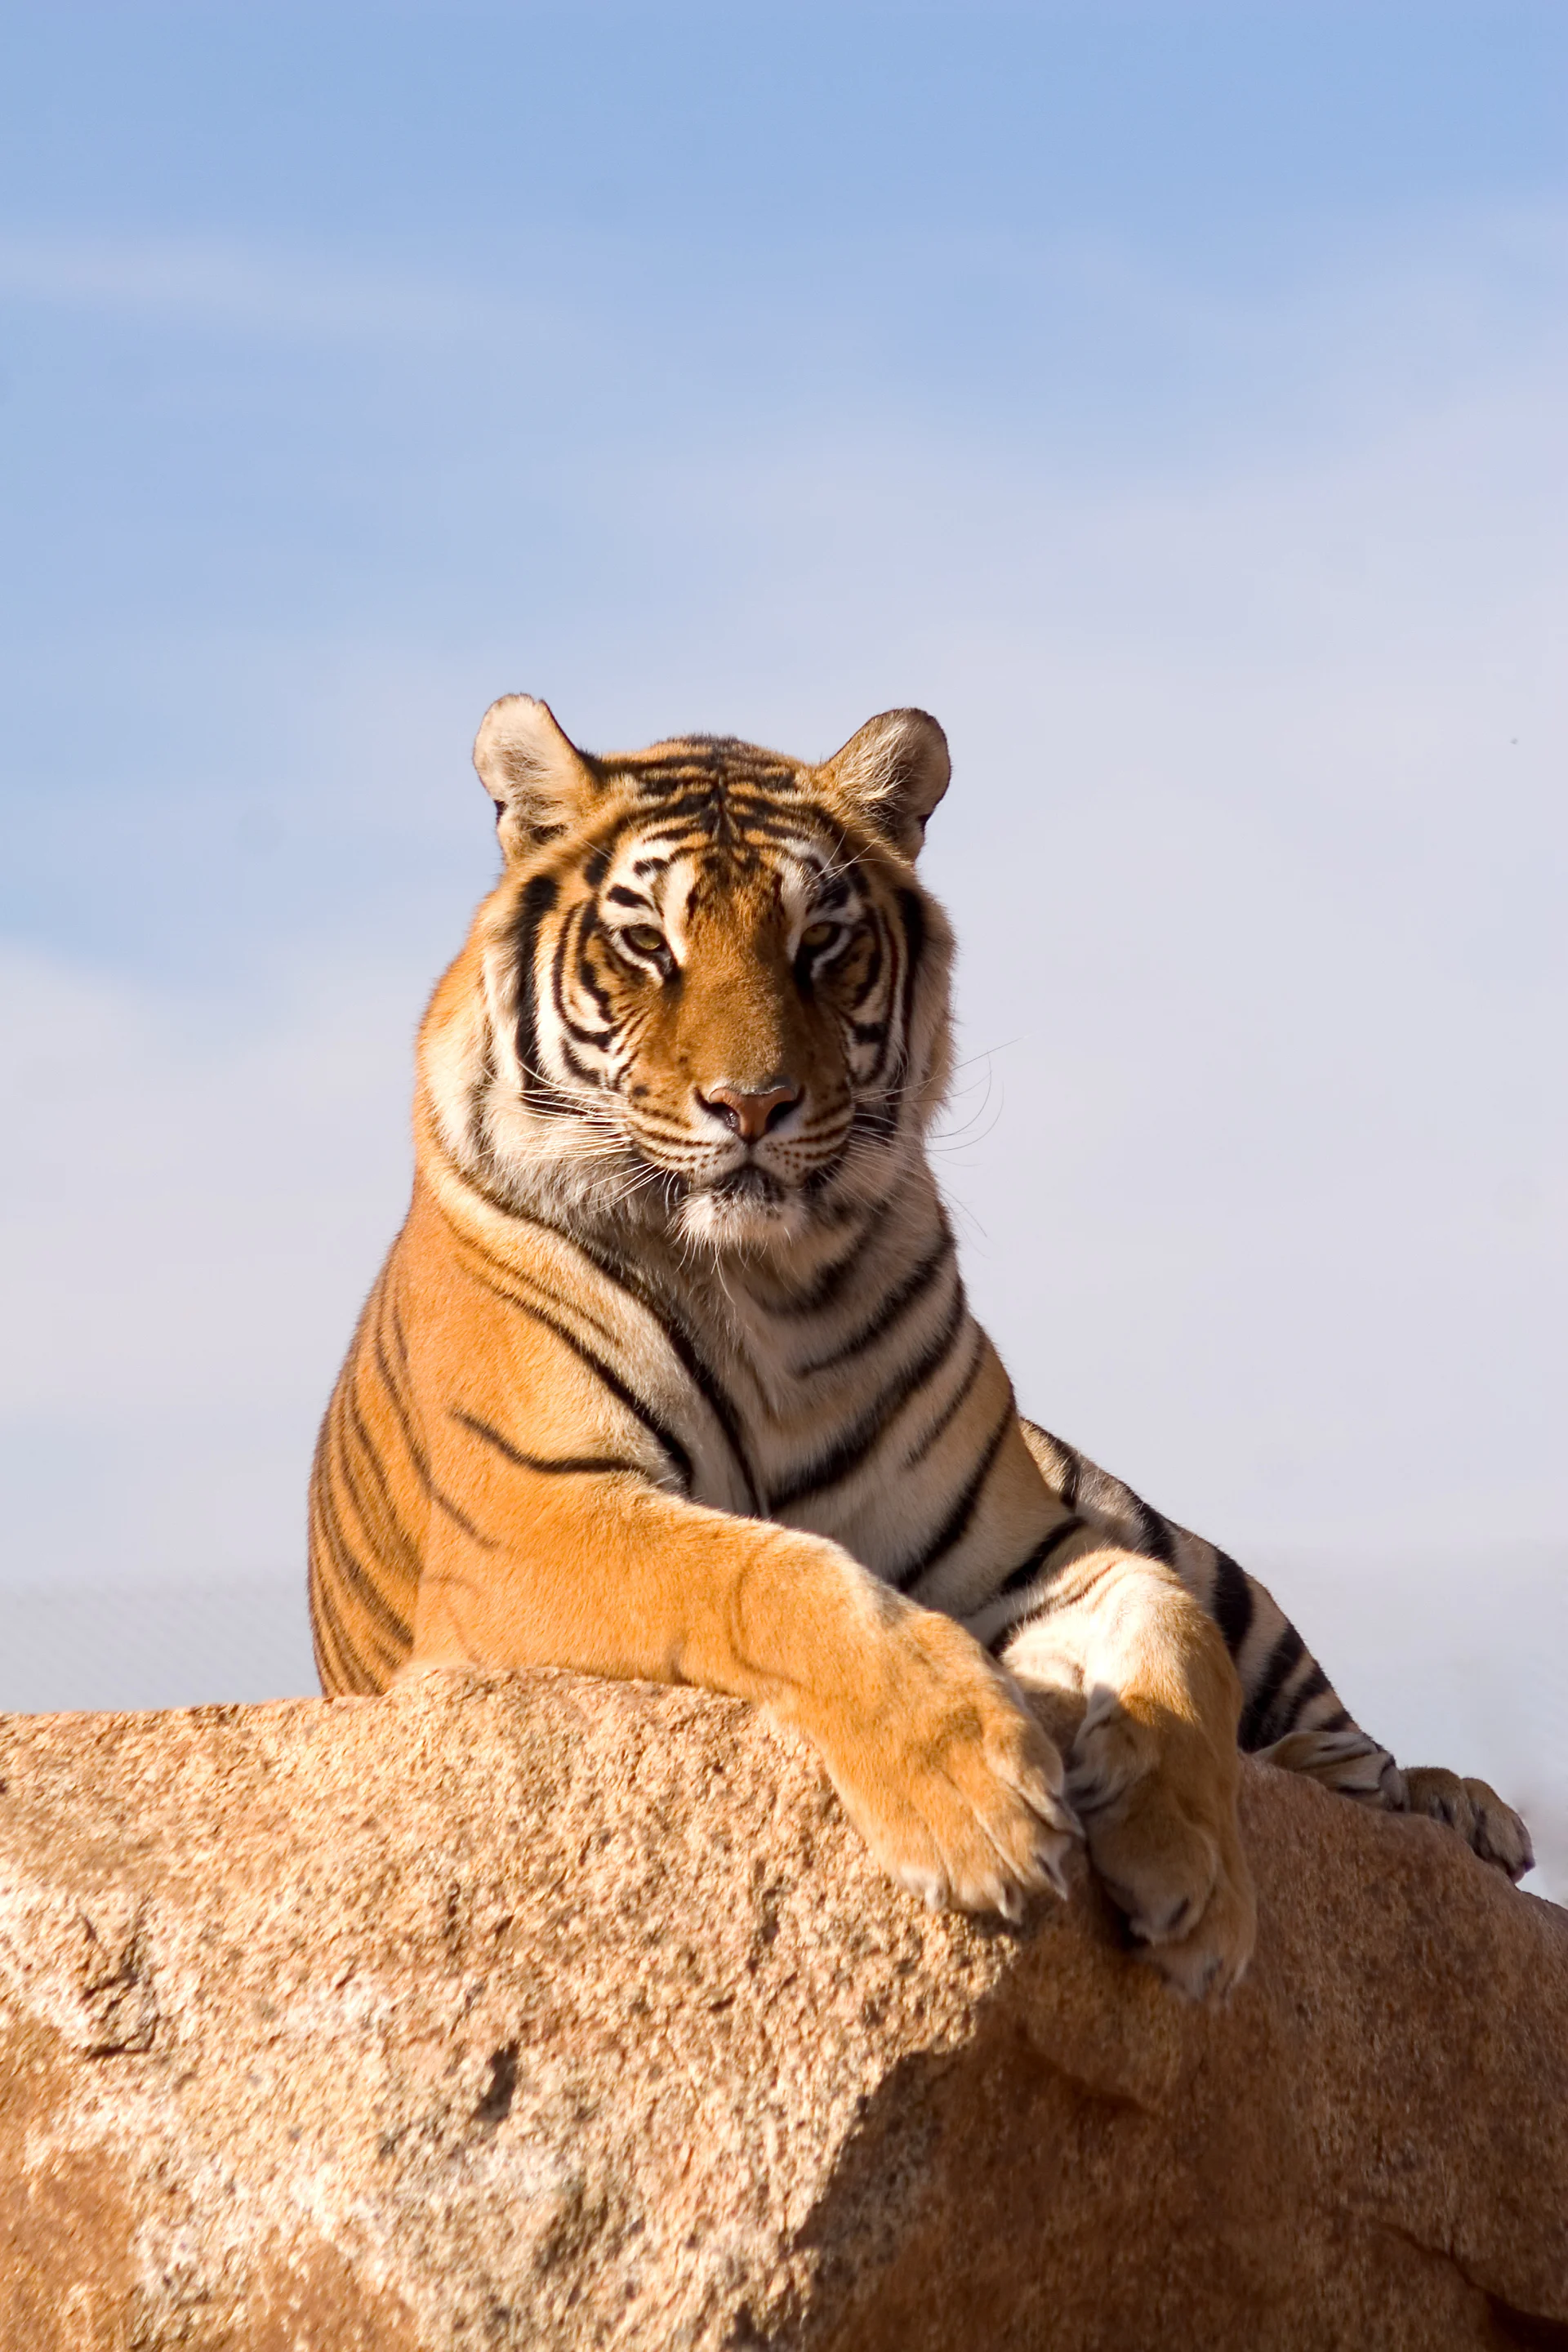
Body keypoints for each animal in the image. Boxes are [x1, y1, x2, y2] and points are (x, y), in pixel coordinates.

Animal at [309, 695, 1533, 1998]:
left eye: (820, 942)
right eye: (647, 944)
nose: (753, 1105)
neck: (760, 1286)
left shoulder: (1015, 1548)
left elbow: (1171, 1622)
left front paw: (1196, 1875)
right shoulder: (535, 1518)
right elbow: (765, 1570)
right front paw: (979, 1807)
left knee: (1321, 1708)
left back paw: (1449, 1803)